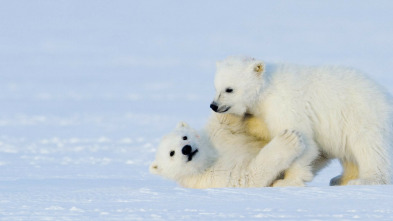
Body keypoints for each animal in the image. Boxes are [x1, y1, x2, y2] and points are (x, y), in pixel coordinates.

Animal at [149, 114, 304, 188]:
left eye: (184, 136)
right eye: (171, 153)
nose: (186, 148)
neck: (209, 158)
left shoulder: (217, 133)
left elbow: (225, 120)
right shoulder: (212, 178)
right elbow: (247, 177)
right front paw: (289, 139)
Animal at [211, 56, 392, 186]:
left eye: (229, 89)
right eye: (216, 87)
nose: (214, 105)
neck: (267, 88)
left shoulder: (284, 105)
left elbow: (305, 142)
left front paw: (286, 181)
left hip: (362, 116)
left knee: (369, 147)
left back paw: (366, 179)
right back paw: (340, 179)